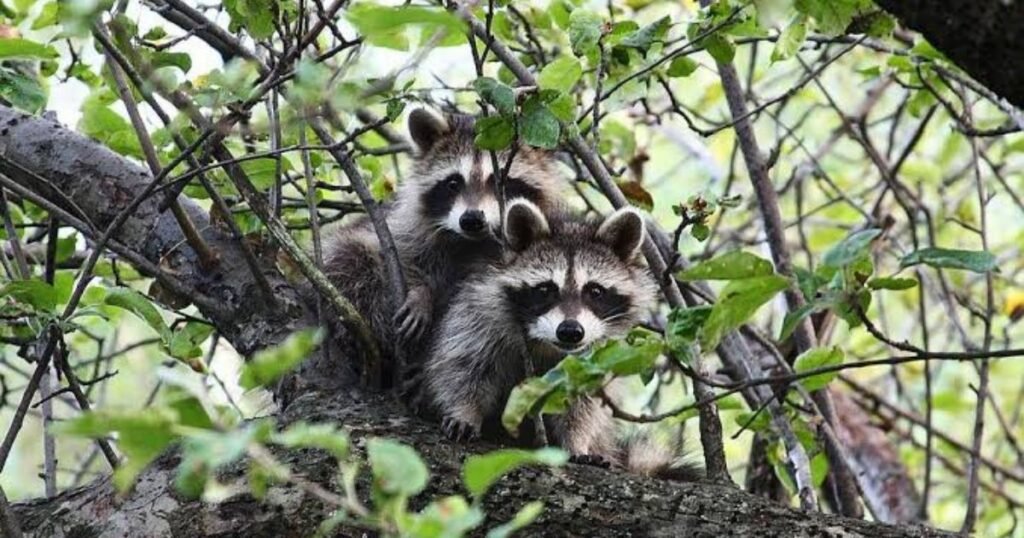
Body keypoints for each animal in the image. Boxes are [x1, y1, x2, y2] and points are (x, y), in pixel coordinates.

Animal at [322, 109, 564, 382]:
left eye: (499, 182)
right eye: (453, 183)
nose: (471, 220)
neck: (472, 243)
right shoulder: (403, 228)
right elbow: (399, 254)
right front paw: (420, 292)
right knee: (350, 259)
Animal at [423, 199, 691, 474]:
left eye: (595, 291)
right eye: (545, 289)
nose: (570, 331)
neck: (548, 345)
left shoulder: (597, 355)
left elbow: (583, 403)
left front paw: (576, 441)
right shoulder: (480, 312)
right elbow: (464, 366)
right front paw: (465, 411)